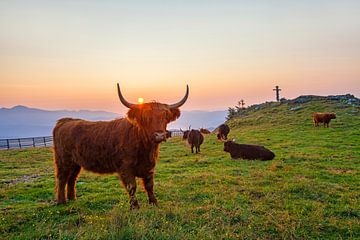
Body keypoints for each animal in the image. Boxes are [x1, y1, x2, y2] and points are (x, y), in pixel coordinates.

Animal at [53, 83, 190, 209]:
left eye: (165, 116)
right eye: (146, 117)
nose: (160, 135)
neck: (145, 148)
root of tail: (65, 121)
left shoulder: (149, 167)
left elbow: (149, 186)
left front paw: (154, 204)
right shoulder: (125, 168)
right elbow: (132, 187)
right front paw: (135, 207)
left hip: (76, 163)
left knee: (72, 178)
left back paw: (72, 198)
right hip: (63, 161)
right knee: (62, 178)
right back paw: (61, 201)